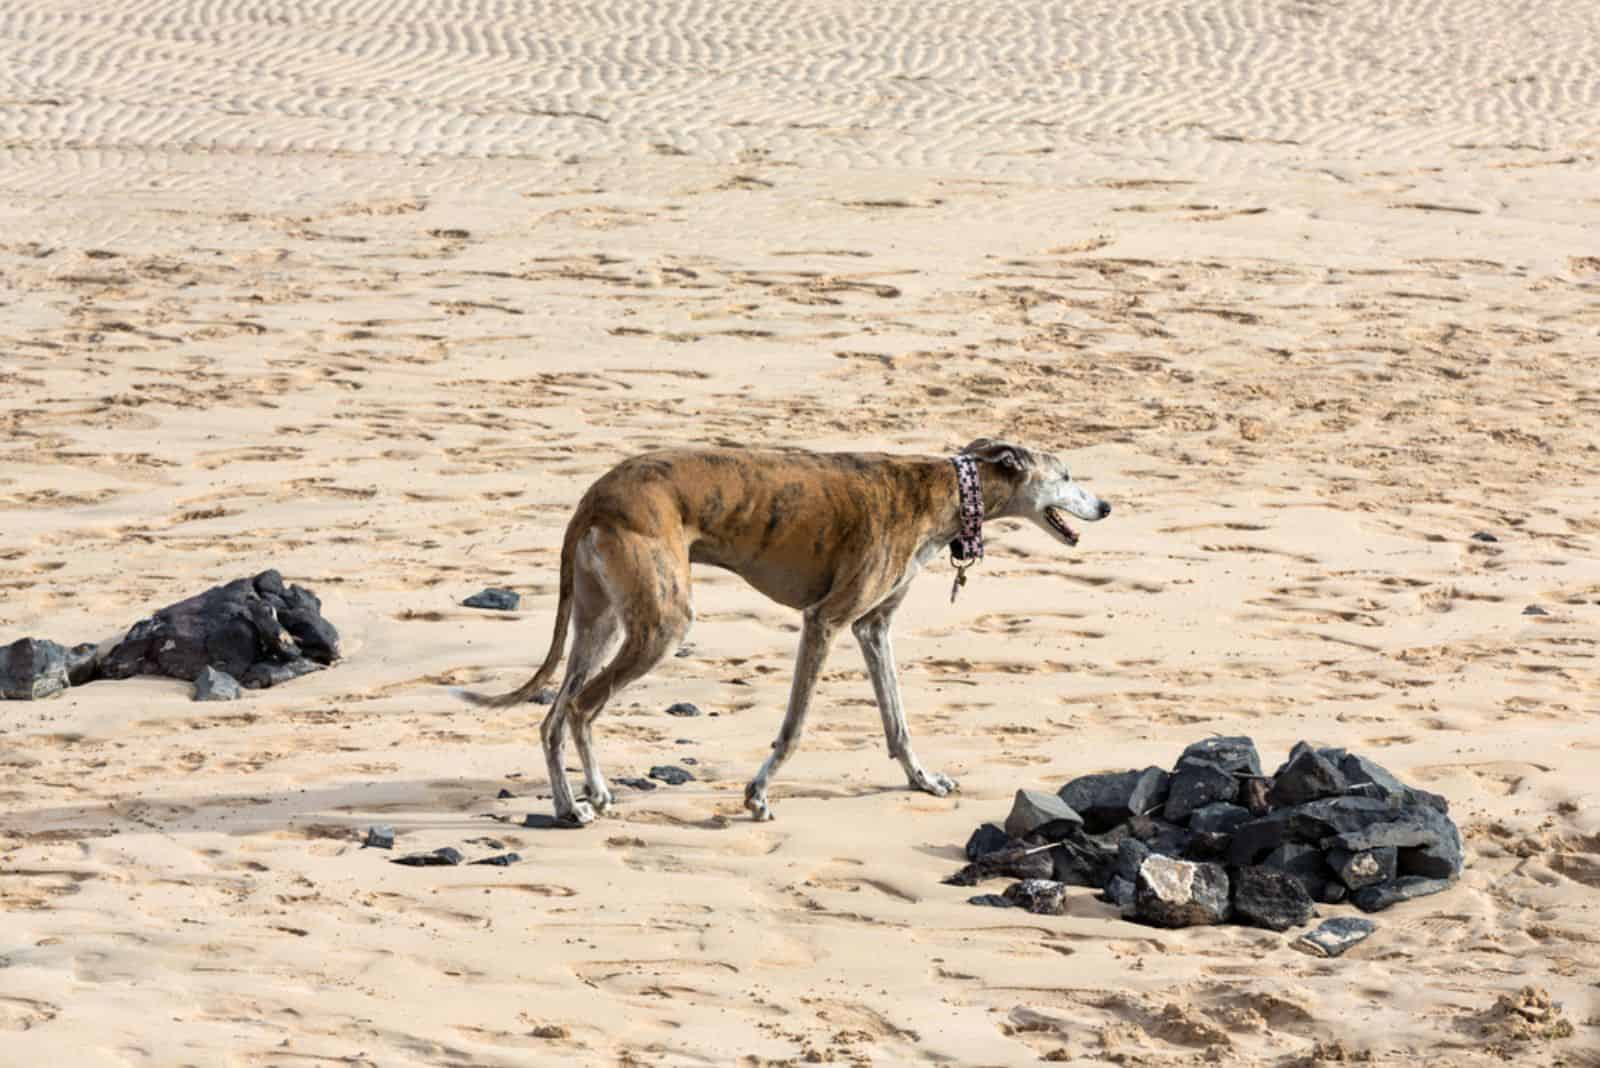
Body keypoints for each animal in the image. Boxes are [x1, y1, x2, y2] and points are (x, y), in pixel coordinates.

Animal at [467, 438, 1113, 824]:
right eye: (1066, 475)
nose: (1106, 507)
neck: (945, 490)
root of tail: (596, 495)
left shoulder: (872, 628)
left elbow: (897, 720)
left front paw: (923, 779)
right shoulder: (824, 621)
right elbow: (796, 726)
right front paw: (758, 794)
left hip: (599, 619)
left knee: (554, 715)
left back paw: (570, 801)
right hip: (663, 622)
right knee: (582, 707)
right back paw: (590, 800)